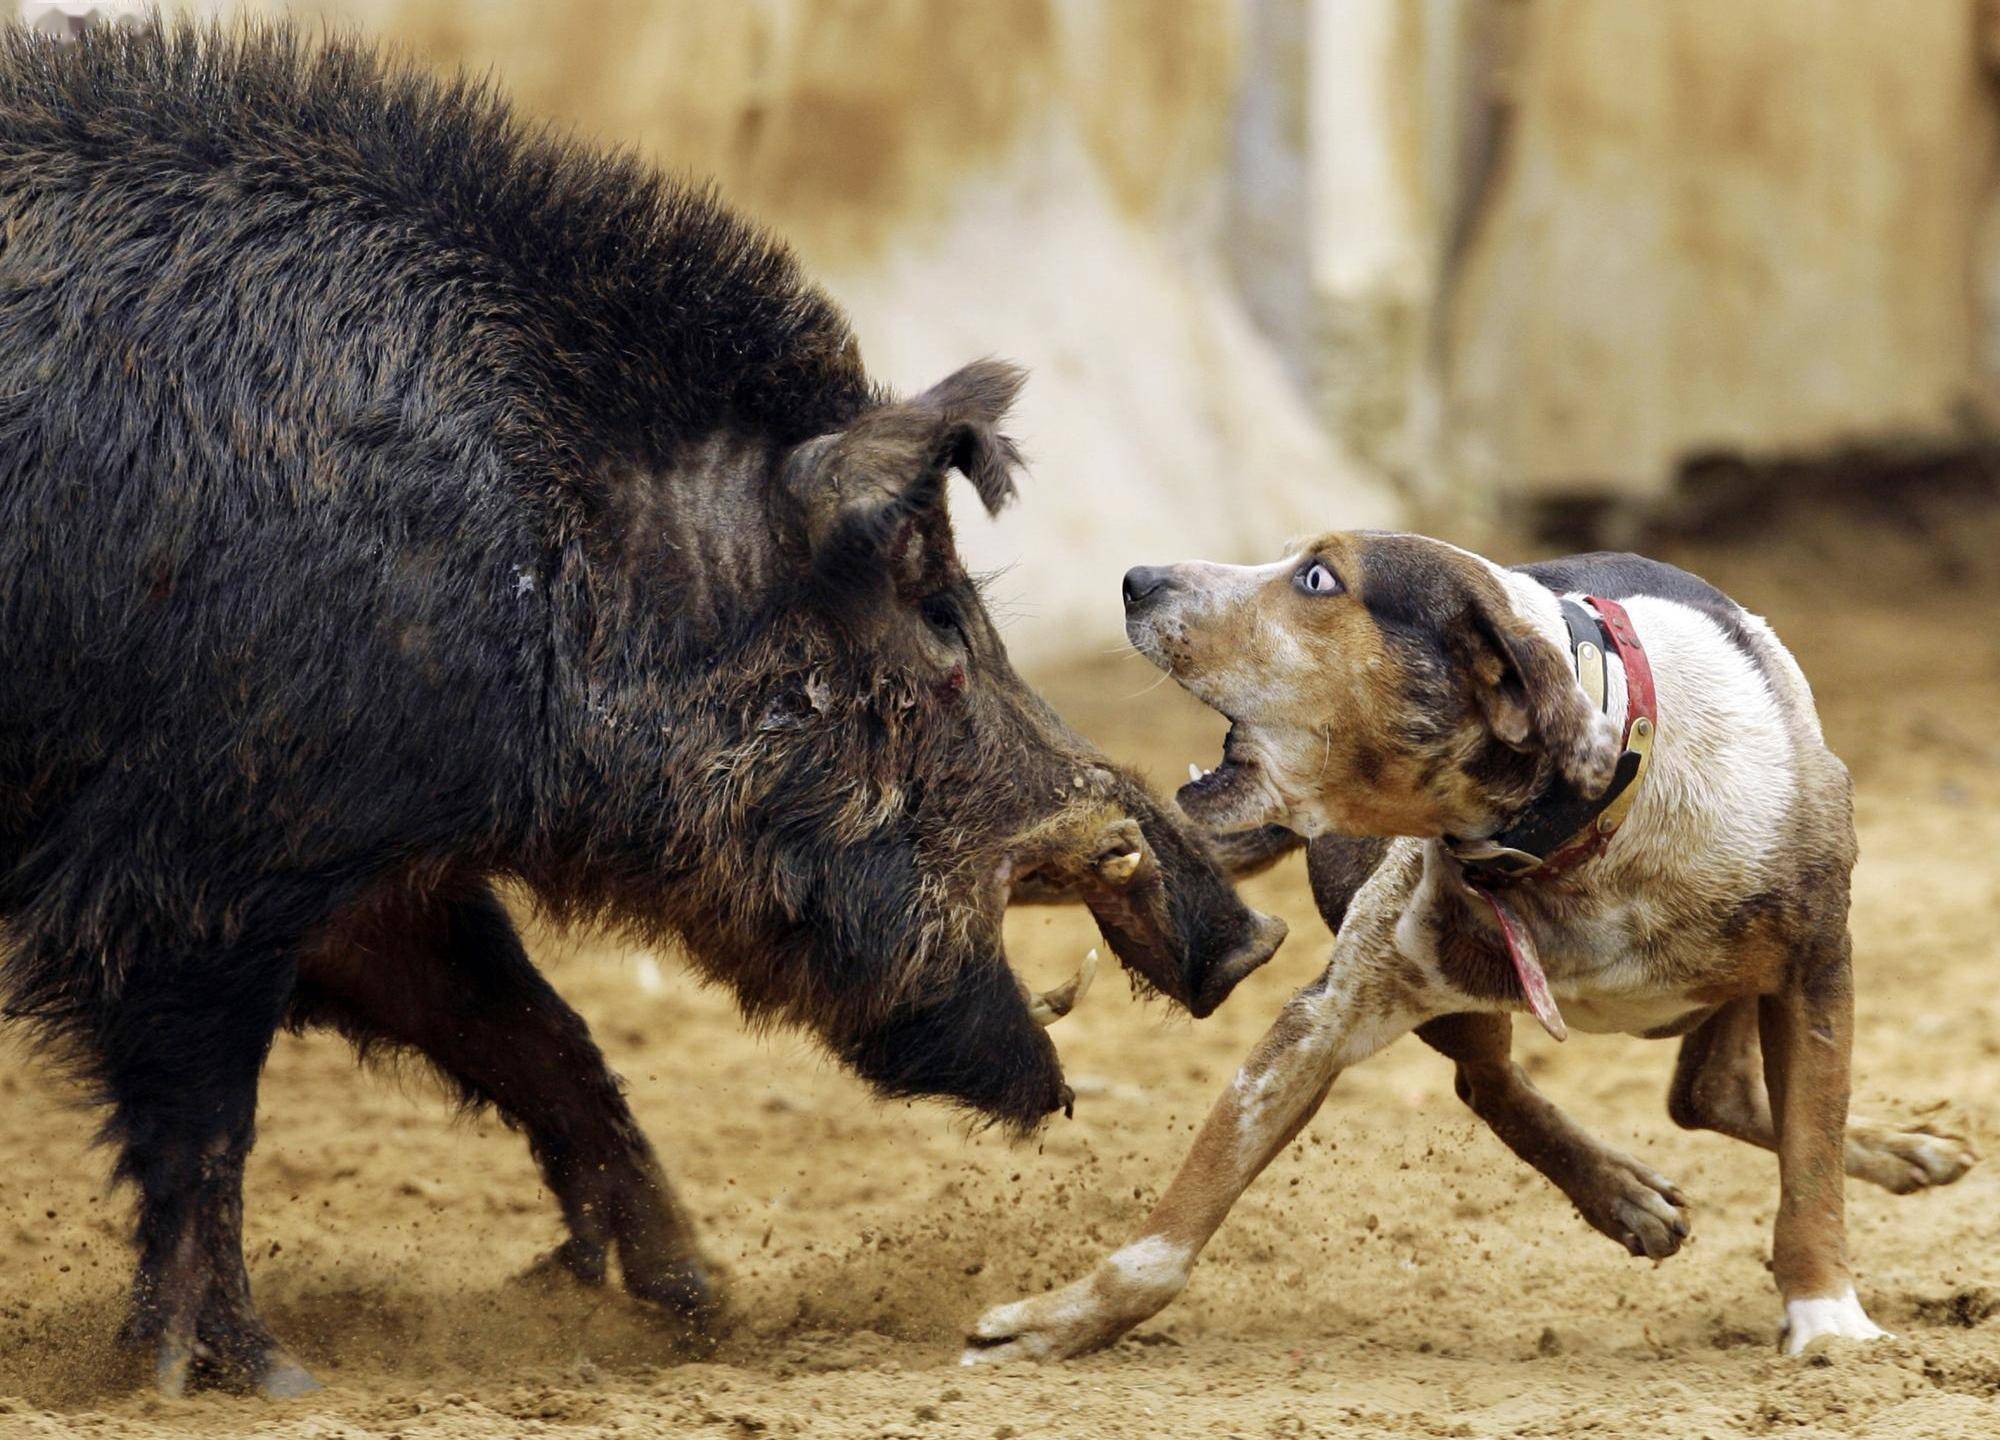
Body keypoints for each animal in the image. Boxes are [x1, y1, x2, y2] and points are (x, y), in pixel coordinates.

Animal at [960, 532, 1976, 1360]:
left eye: (1319, 577)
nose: (1136, 579)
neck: (1574, 834)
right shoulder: (1333, 1009)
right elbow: (1183, 1214)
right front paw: (1066, 1320)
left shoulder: (1815, 966)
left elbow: (1811, 1164)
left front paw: (1827, 1319)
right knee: (1505, 1082)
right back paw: (1623, 1193)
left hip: (1736, 975)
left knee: (1719, 1093)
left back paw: (1904, 1154)